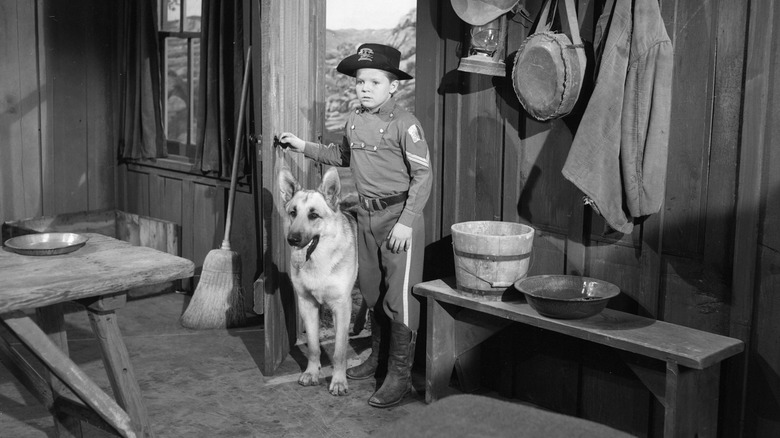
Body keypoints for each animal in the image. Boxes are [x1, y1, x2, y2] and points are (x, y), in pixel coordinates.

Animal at [278, 166, 356, 396]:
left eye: (313, 215)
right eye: (293, 213)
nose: (292, 240)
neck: (318, 261)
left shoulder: (341, 307)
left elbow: (339, 350)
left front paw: (338, 381)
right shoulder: (307, 304)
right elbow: (313, 345)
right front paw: (312, 372)